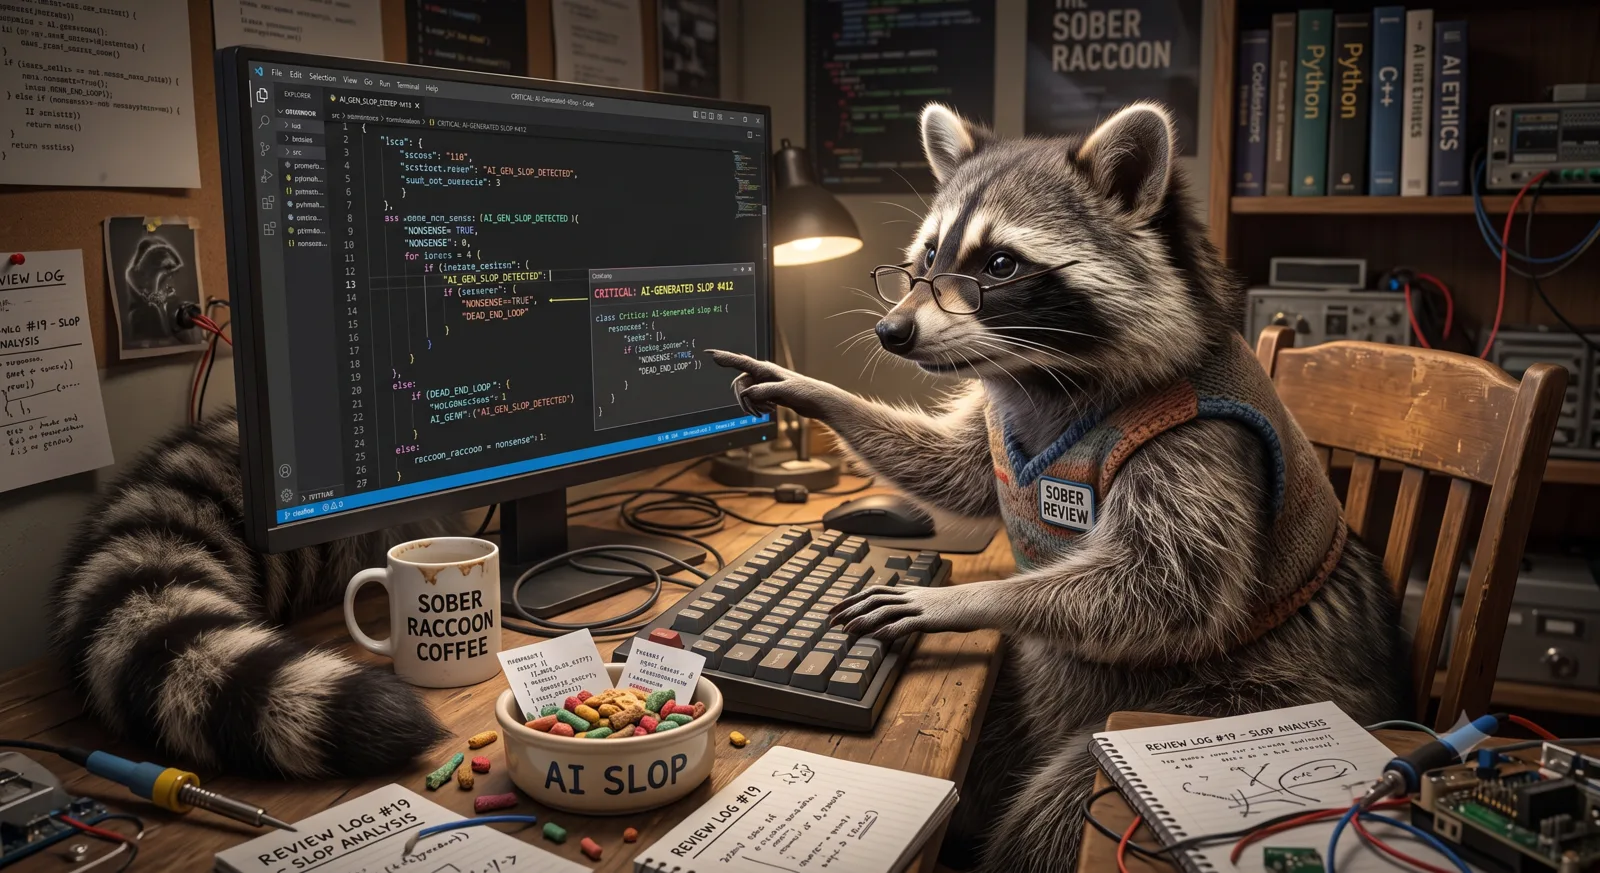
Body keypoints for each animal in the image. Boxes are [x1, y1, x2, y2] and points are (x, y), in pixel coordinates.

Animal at [708, 103, 1407, 872]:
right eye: (927, 259)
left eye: (999, 265)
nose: (892, 330)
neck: (1043, 371)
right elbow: (954, 471)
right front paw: (820, 394)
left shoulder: (1198, 441)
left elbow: (1168, 588)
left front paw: (963, 598)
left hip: (1243, 691)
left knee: (1056, 812)